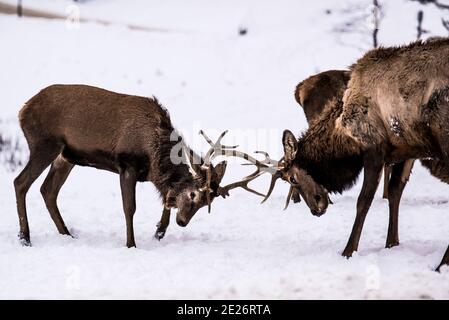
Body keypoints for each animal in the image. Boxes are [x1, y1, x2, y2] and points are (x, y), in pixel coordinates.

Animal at [14, 84, 274, 248]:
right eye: (193, 195)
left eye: (205, 204)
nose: (183, 222)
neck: (154, 152)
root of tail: (22, 110)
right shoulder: (126, 165)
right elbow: (129, 208)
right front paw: (131, 244)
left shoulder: (150, 175)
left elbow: (166, 198)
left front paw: (159, 232)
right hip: (44, 144)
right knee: (21, 182)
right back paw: (25, 238)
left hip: (66, 157)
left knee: (48, 190)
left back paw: (67, 235)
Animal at [268, 38, 448, 272]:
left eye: (293, 178)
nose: (316, 209)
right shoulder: (406, 148)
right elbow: (395, 192)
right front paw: (391, 244)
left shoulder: (374, 147)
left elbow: (364, 202)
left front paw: (348, 251)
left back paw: (441, 264)